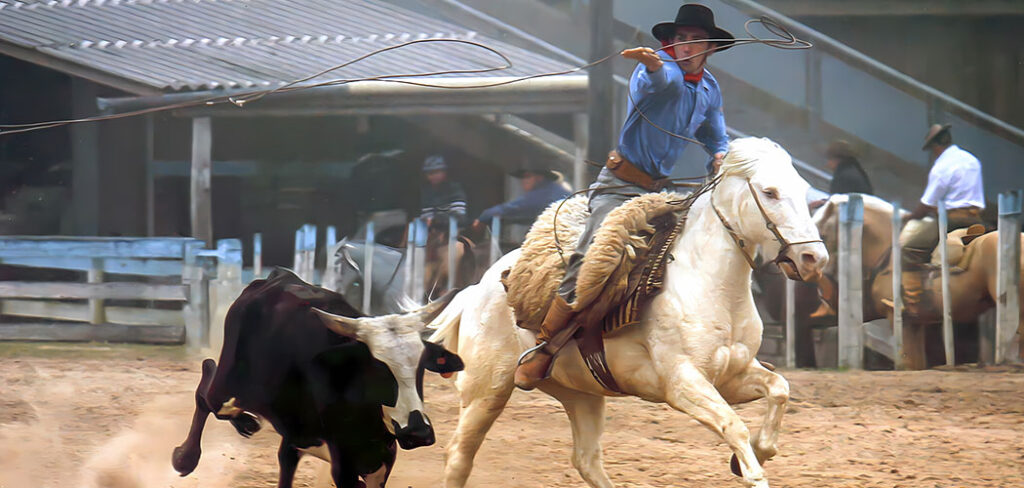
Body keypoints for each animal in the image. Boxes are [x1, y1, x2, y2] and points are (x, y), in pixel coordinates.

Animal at [171, 268, 464, 484]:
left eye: (421, 366)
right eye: (378, 368)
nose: (418, 432)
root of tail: (274, 278)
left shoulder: (382, 460)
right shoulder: (344, 466)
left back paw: (246, 423)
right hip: (227, 387)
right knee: (207, 385)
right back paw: (184, 458)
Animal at [428, 138, 827, 486]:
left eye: (803, 191)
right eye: (770, 192)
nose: (814, 258)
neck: (711, 282)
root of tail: (478, 288)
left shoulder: (733, 376)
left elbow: (779, 389)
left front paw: (761, 451)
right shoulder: (683, 384)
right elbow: (734, 427)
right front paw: (751, 468)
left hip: (580, 393)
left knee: (586, 460)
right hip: (487, 390)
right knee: (459, 456)